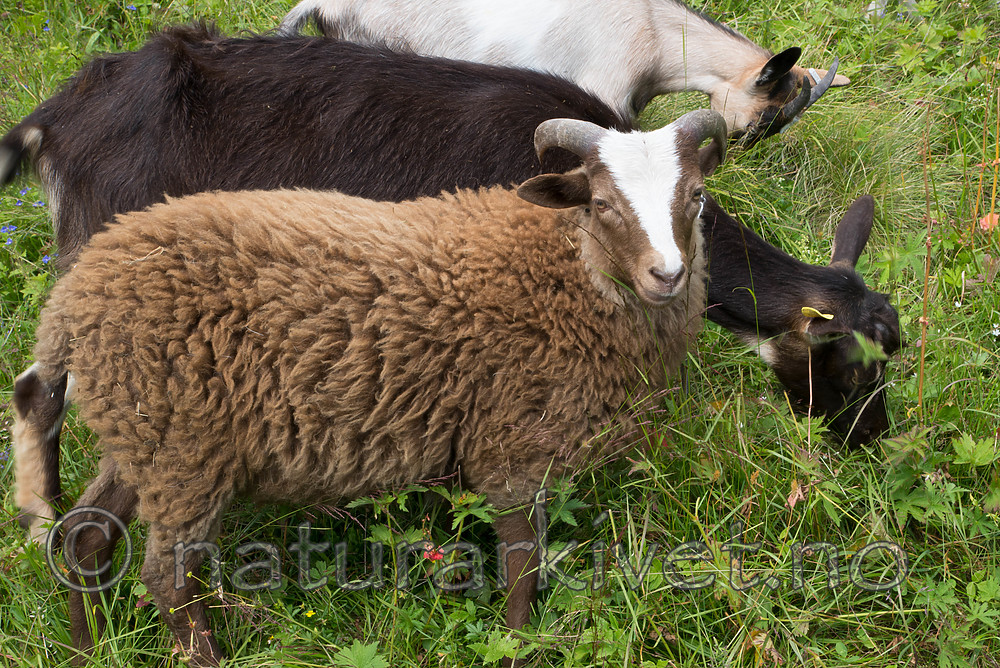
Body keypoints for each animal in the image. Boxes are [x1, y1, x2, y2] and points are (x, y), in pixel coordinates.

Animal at [18, 111, 726, 666]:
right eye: (601, 204)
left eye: (695, 196)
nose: (667, 275)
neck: (563, 269)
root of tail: (72, 300)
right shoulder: (513, 448)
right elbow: (523, 569)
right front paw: (516, 647)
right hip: (182, 449)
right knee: (167, 579)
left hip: (140, 435)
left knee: (82, 537)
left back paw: (86, 651)